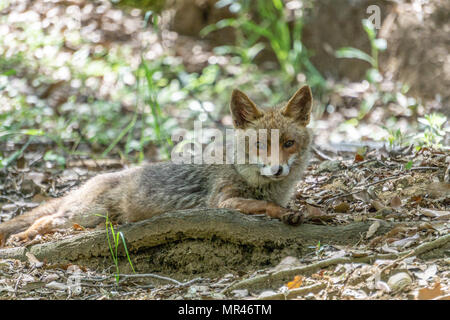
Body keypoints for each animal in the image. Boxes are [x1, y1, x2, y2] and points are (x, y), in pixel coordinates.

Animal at [0, 84, 312, 245]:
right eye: (260, 145)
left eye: (288, 143)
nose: (277, 170)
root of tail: (91, 181)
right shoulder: (222, 202)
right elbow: (266, 206)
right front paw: (286, 214)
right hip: (88, 215)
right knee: (44, 220)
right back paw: (22, 237)